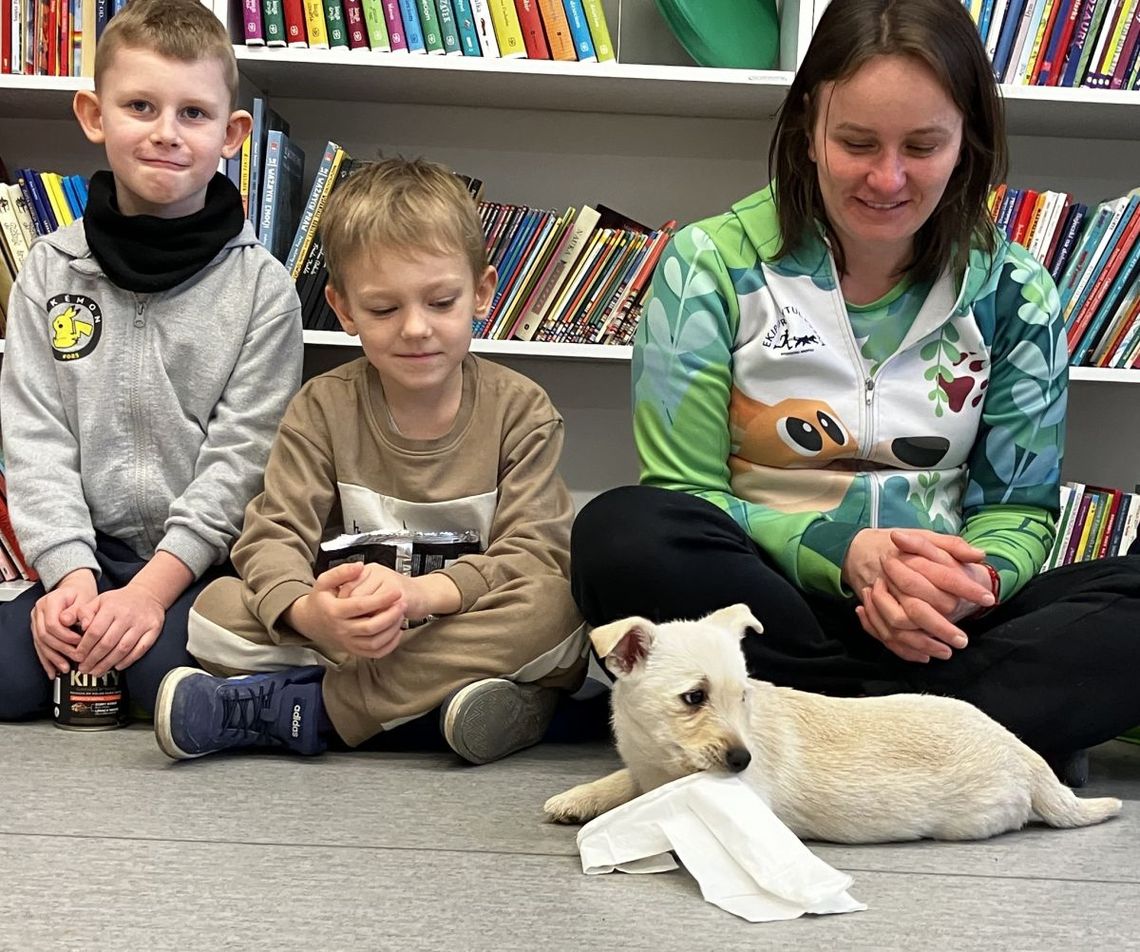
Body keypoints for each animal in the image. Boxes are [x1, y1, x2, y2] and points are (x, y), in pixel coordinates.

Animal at [544, 601, 1121, 843]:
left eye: (743, 697)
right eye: (694, 698)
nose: (743, 759)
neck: (659, 757)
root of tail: (1024, 756)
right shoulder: (646, 767)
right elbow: (624, 780)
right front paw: (580, 797)